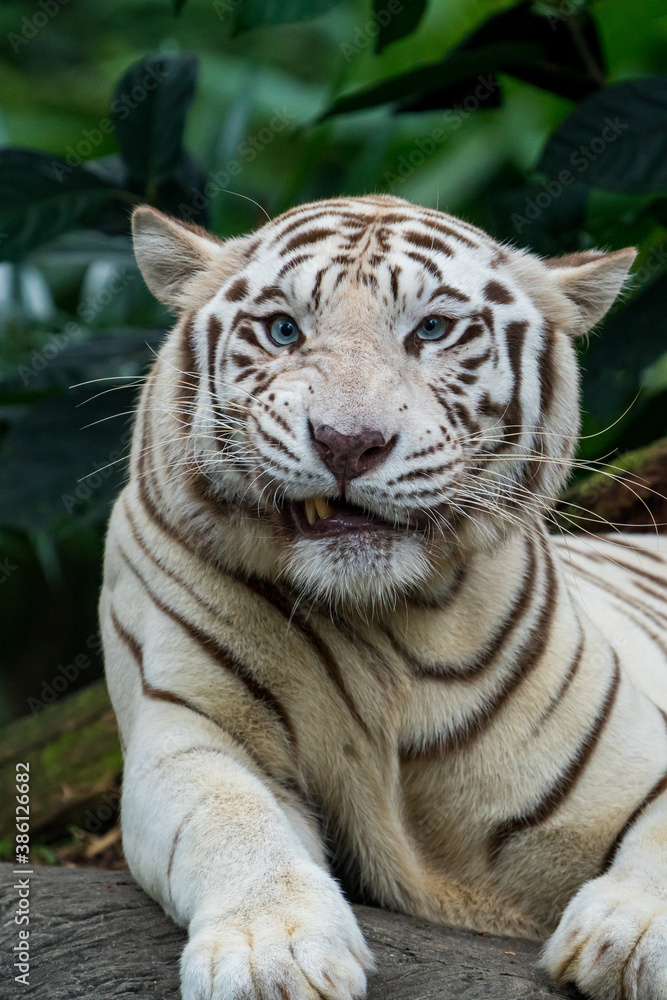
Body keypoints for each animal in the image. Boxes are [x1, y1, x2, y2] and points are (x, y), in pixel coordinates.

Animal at [100, 193, 667, 1000]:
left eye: (430, 329)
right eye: (284, 329)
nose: (347, 442)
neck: (380, 622)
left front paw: (628, 938)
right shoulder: (190, 730)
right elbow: (230, 820)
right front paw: (273, 955)